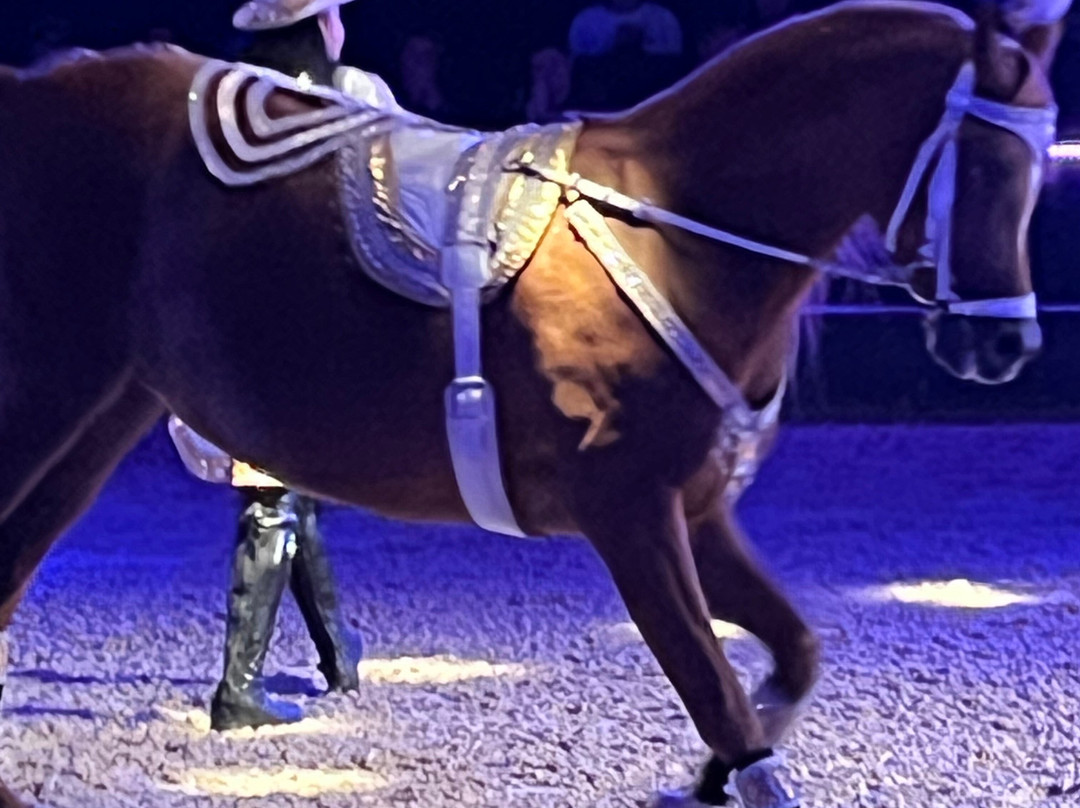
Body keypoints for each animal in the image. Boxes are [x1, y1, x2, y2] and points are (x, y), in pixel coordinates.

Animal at [0, 2, 1063, 805]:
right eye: (984, 164)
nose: (1005, 344)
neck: (671, 225)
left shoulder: (694, 512)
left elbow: (788, 659)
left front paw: (711, 773)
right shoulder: (630, 516)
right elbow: (719, 696)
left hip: (102, 416)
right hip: (46, 398)